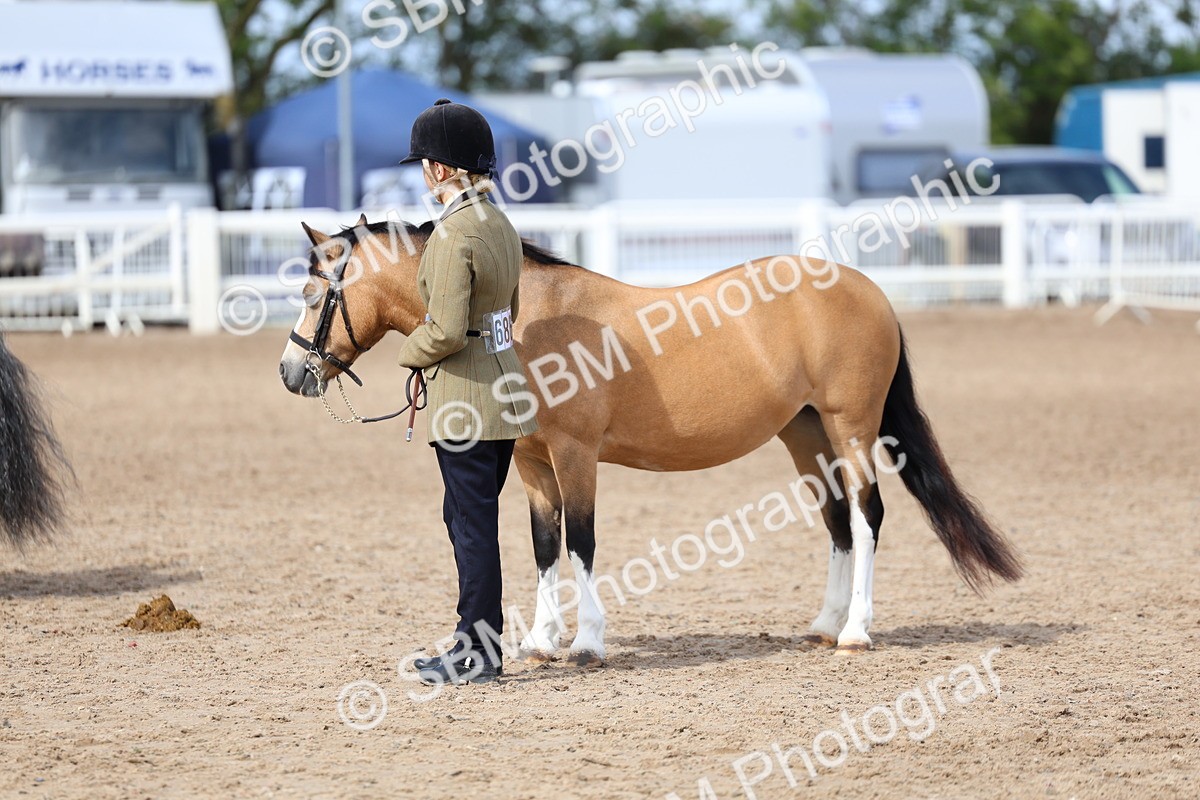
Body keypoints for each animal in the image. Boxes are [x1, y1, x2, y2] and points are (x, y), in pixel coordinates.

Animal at [279, 213, 1022, 662]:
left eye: (315, 296)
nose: (291, 372)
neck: (522, 321)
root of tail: (868, 289)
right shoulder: (533, 464)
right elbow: (544, 548)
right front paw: (540, 642)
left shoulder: (576, 455)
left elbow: (581, 543)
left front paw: (587, 643)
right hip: (805, 433)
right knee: (837, 519)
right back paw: (824, 624)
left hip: (851, 426)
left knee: (868, 516)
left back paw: (858, 631)